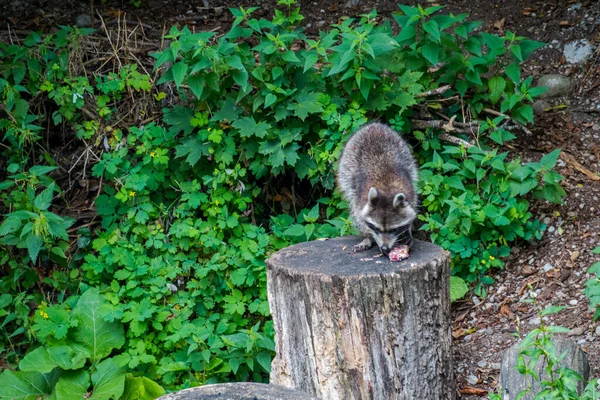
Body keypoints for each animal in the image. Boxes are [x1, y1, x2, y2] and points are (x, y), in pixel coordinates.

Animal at [338, 120, 418, 256]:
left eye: (394, 229)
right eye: (376, 228)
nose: (385, 248)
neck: (386, 188)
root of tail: (374, 125)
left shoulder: (410, 189)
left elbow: (412, 207)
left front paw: (408, 229)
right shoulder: (360, 196)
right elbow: (359, 214)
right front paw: (368, 234)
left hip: (406, 154)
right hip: (347, 167)